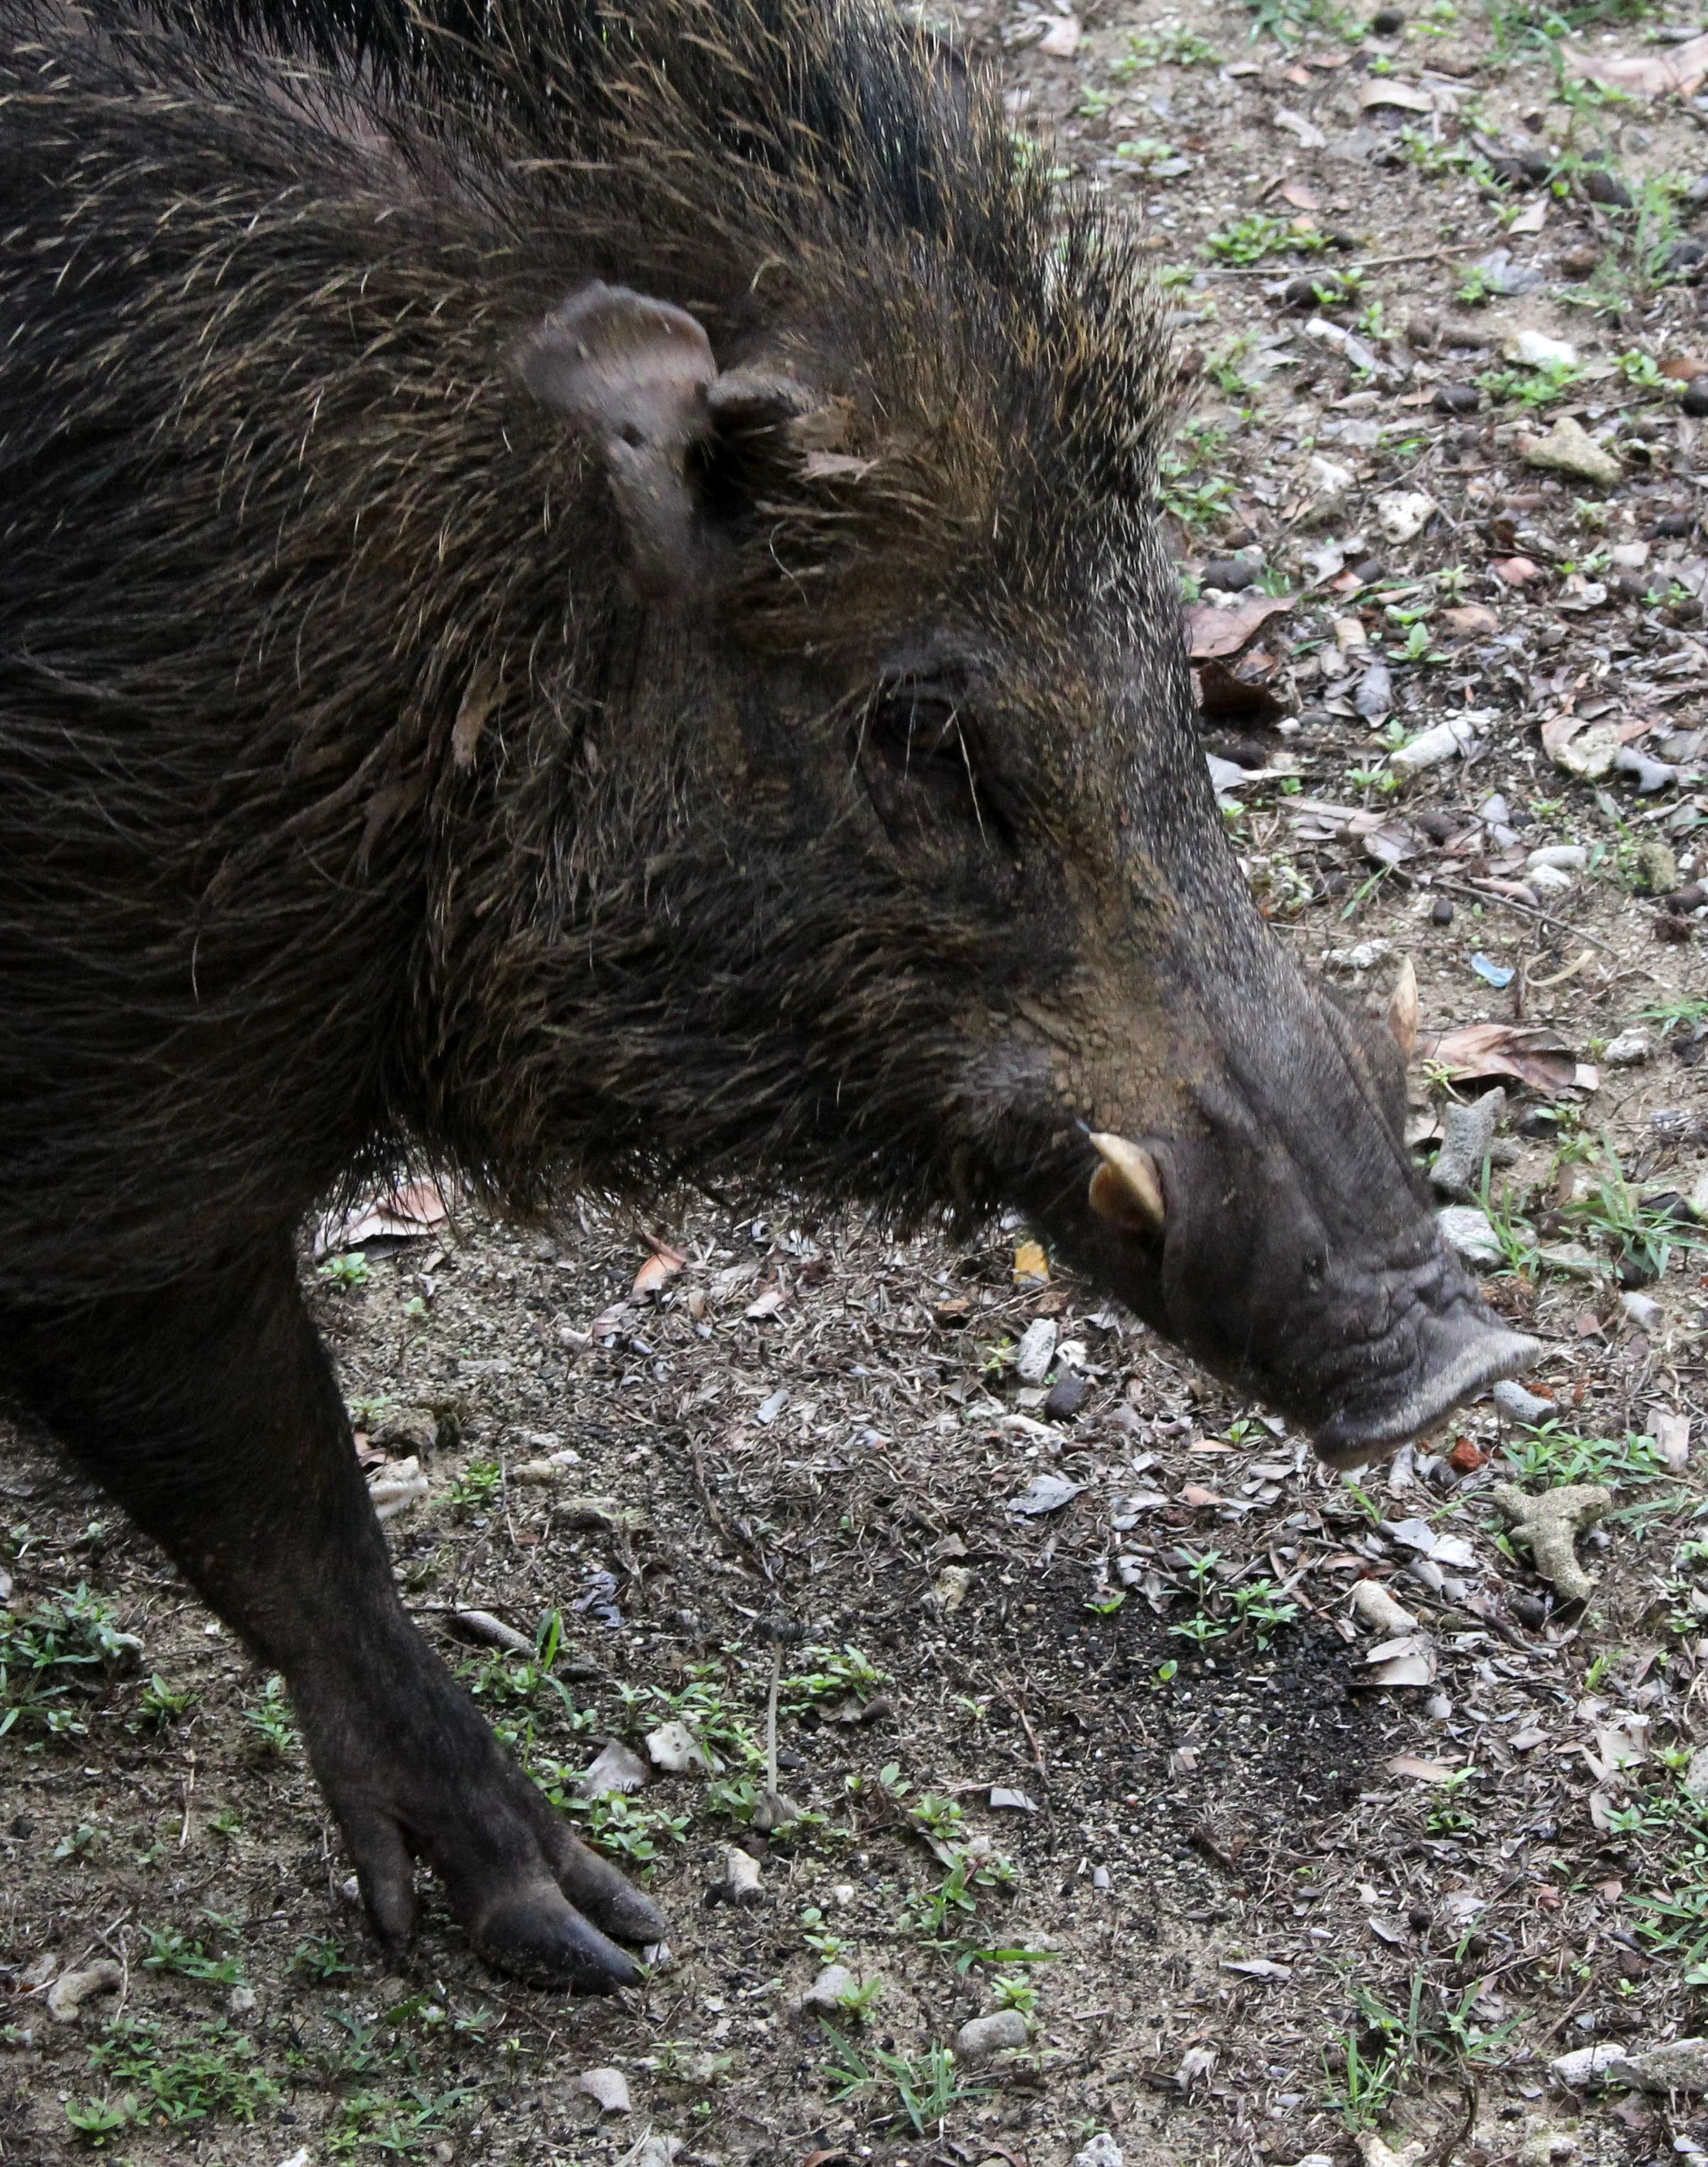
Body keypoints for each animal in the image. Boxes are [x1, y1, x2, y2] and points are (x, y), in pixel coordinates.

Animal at [0, 0, 1536, 1987]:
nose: (1456, 1365)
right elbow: (294, 1500)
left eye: (1167, 669)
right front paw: (588, 1936)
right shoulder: (116, 1080)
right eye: (925, 733)